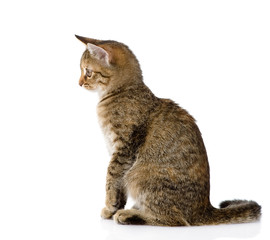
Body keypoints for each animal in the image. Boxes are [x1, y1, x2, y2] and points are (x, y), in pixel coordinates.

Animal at [75, 34, 260, 226]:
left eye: (87, 72)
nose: (79, 83)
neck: (124, 91)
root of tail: (204, 209)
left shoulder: (123, 149)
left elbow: (111, 178)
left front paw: (110, 207)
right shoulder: (116, 151)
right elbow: (119, 185)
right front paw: (115, 206)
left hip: (139, 176)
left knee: (175, 219)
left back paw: (130, 215)